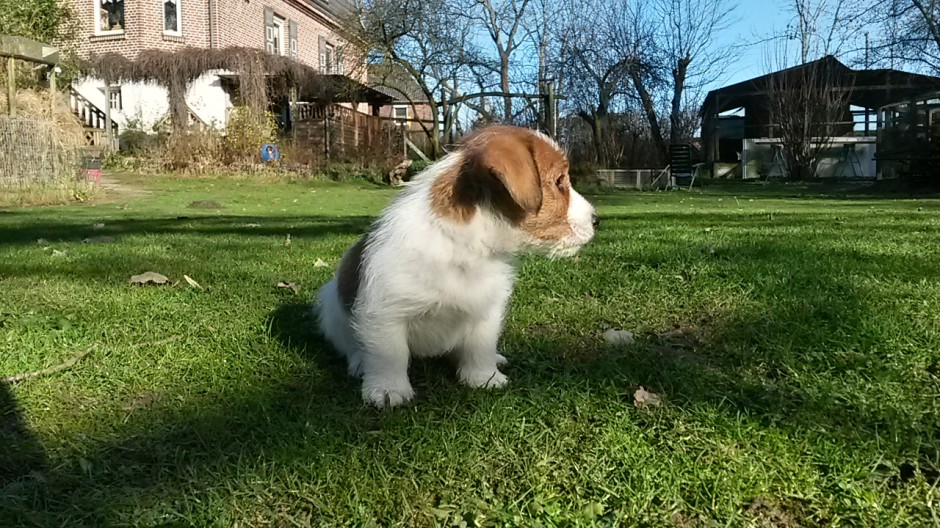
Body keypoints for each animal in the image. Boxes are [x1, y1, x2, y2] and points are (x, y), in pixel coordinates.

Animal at [314, 124, 596, 408]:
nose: (597, 219)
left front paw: (484, 377)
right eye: (559, 181)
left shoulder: (487, 310)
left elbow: (480, 347)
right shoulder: (385, 312)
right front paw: (387, 388)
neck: (466, 248)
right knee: (352, 346)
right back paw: (360, 362)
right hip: (332, 309)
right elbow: (389, 355)